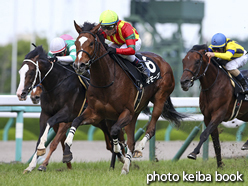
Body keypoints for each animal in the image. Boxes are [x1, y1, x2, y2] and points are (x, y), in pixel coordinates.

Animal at [16, 45, 124, 173]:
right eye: (20, 72)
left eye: (31, 72)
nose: (20, 94)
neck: (57, 84)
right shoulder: (46, 114)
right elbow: (44, 137)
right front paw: (31, 166)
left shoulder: (68, 115)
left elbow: (53, 139)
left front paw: (44, 159)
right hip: (100, 122)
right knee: (110, 144)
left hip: (109, 119)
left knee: (120, 139)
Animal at [59, 21, 185, 174]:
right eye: (77, 43)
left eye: (91, 43)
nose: (79, 65)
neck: (106, 80)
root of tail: (163, 61)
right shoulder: (95, 113)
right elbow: (76, 121)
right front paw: (68, 145)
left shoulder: (125, 112)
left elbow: (114, 132)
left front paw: (118, 149)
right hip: (135, 112)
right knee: (131, 141)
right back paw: (125, 168)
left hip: (160, 98)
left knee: (151, 128)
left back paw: (138, 149)